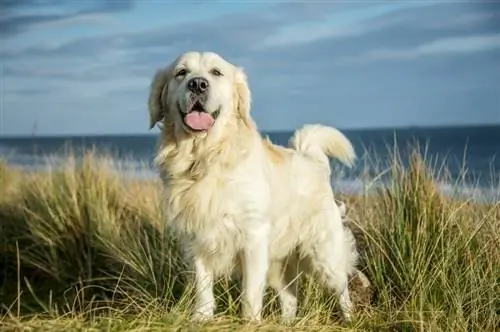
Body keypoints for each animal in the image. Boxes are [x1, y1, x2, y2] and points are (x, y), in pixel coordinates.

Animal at [148, 52, 364, 324]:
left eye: (216, 72)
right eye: (181, 73)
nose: (197, 84)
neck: (206, 158)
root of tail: (312, 161)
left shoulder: (253, 237)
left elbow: (250, 291)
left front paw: (250, 322)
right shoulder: (197, 237)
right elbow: (202, 286)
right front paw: (202, 317)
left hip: (324, 255)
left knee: (342, 288)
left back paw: (350, 318)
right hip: (280, 265)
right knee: (290, 299)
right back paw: (286, 324)